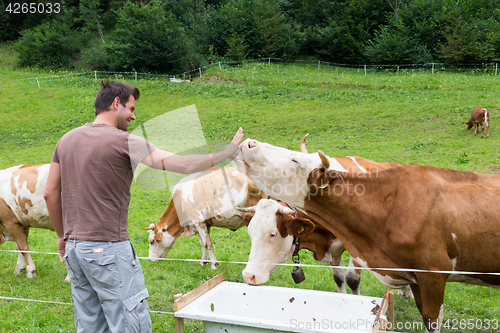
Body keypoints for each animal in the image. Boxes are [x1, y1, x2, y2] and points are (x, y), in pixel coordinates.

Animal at [236, 139, 500, 330]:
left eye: (273, 234)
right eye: (250, 233)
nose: (249, 275)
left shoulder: (433, 276)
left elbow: (354, 280)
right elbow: (339, 279)